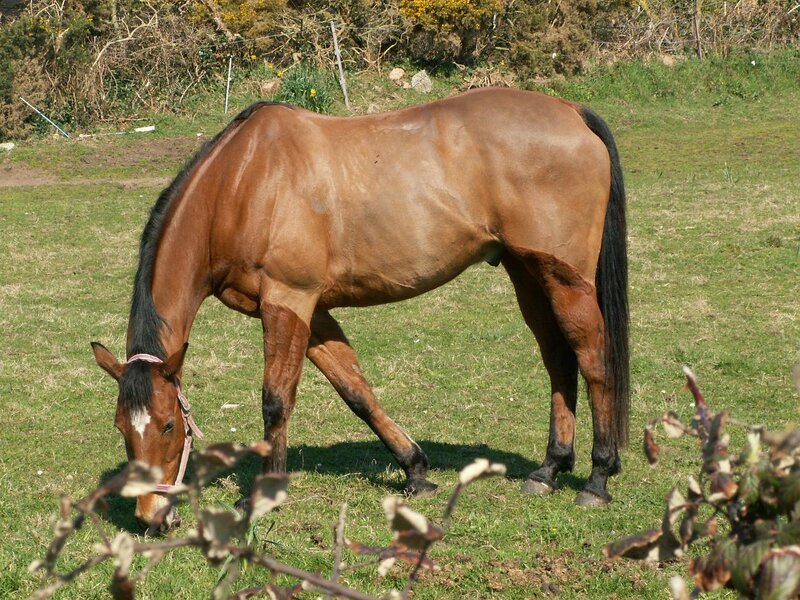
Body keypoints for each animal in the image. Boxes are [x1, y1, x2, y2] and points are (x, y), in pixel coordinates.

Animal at [91, 87, 629, 528]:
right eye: (121, 427)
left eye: (168, 425)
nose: (151, 516)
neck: (242, 183)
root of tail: (571, 111)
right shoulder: (311, 313)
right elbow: (356, 390)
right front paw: (415, 471)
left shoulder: (288, 301)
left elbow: (276, 399)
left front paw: (263, 495)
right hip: (528, 273)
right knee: (558, 359)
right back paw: (549, 468)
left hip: (566, 279)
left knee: (593, 360)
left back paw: (597, 478)